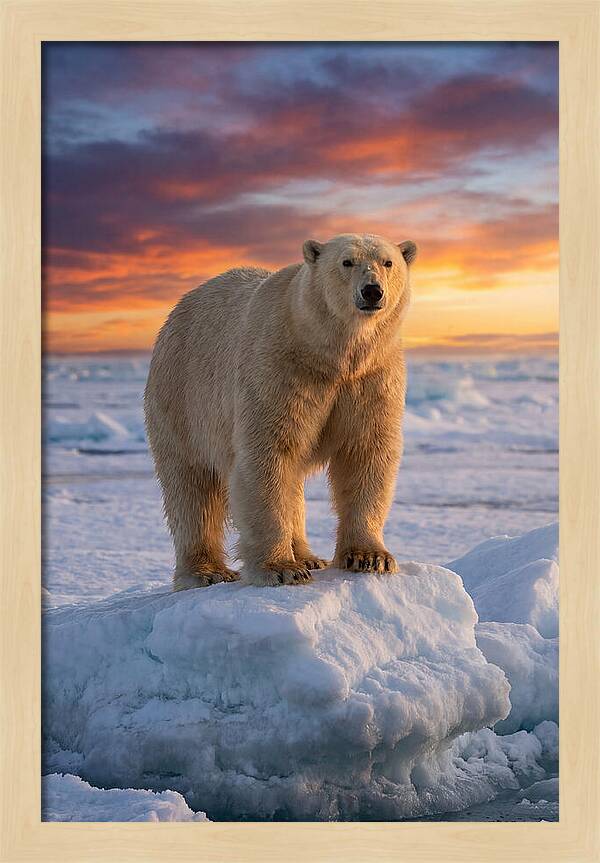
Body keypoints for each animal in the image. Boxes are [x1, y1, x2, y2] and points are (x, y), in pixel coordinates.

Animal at [144, 233, 416, 589]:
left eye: (388, 262)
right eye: (347, 262)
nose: (372, 291)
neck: (329, 354)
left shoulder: (373, 377)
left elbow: (366, 452)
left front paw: (370, 557)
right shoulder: (279, 368)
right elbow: (267, 455)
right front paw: (281, 568)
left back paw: (309, 556)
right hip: (181, 397)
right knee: (192, 487)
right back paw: (207, 571)